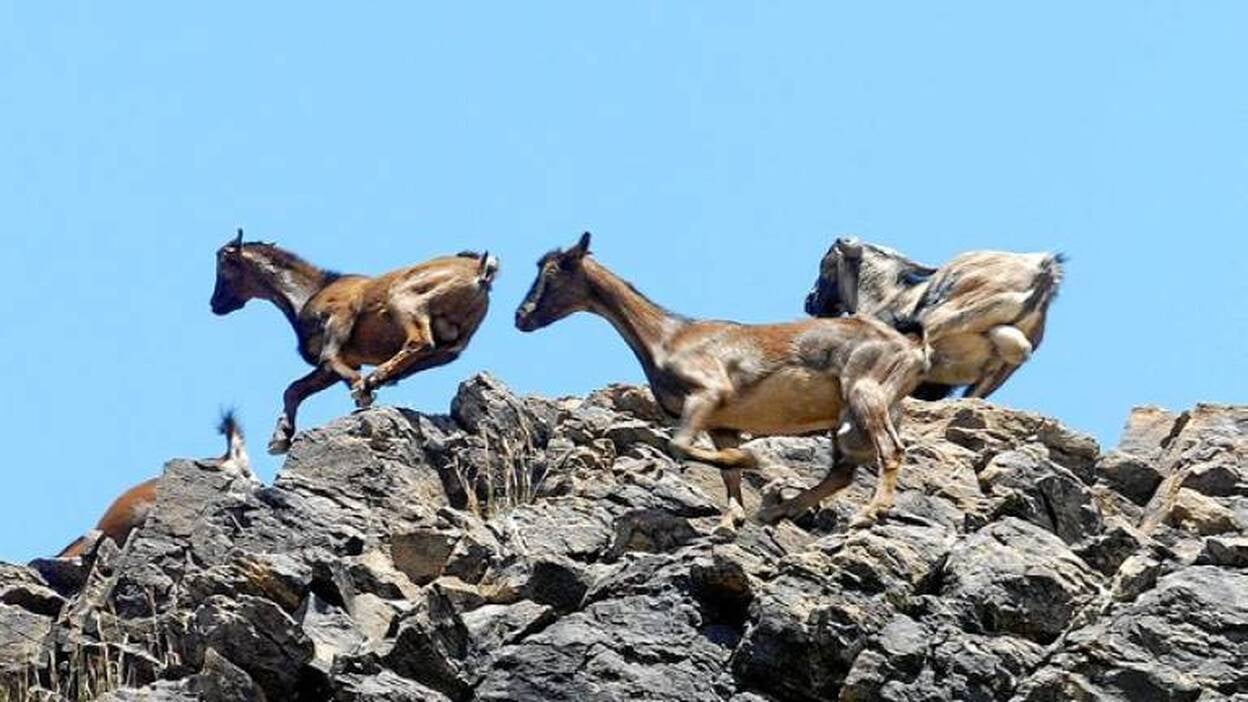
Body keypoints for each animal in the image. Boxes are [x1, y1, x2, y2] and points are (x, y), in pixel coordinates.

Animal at [211, 230, 499, 454]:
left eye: (224, 263)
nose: (215, 304)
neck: (308, 293)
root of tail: (481, 270)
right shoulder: (341, 363)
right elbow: (294, 389)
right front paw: (280, 438)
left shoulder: (340, 315)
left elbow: (327, 359)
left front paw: (361, 390)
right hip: (455, 341)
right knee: (431, 354)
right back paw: (381, 378)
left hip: (404, 299)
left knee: (420, 342)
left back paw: (373, 380)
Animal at [516, 233, 929, 533]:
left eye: (552, 274)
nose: (522, 316)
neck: (667, 336)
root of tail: (912, 349)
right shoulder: (722, 423)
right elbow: (726, 472)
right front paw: (732, 520)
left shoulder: (706, 394)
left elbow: (681, 445)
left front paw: (755, 460)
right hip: (850, 416)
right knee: (842, 471)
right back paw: (777, 511)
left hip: (866, 392)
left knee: (889, 450)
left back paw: (868, 513)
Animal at [805, 237, 1064, 399]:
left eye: (826, 263)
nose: (810, 301)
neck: (887, 296)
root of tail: (1042, 271)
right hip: (998, 370)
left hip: (945, 317)